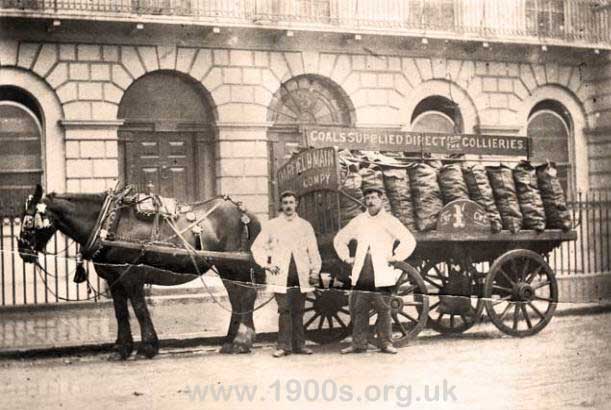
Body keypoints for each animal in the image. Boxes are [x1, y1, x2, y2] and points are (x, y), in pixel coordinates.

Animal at [18, 184, 262, 360]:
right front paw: (122, 348)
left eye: (29, 222)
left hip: (234, 264)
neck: (107, 223)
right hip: (225, 266)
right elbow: (120, 312)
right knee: (236, 297)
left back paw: (242, 341)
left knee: (246, 295)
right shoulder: (114, 278)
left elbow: (139, 309)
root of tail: (245, 212)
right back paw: (230, 340)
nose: (22, 252)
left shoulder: (131, 274)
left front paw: (147, 347)